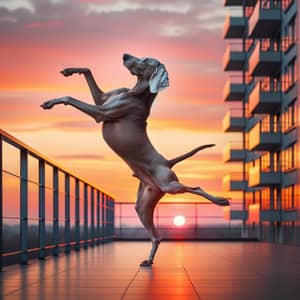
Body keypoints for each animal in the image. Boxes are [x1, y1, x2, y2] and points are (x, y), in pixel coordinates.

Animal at [41, 52, 230, 266]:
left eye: (146, 61)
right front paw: (71, 70)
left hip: (169, 185)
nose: (125, 55)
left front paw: (51, 102)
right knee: (157, 236)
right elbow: (89, 72)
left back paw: (219, 200)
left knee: (195, 188)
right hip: (143, 204)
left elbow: (70, 97)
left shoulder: (101, 113)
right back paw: (149, 260)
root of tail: (167, 161)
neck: (136, 92)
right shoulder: (102, 100)